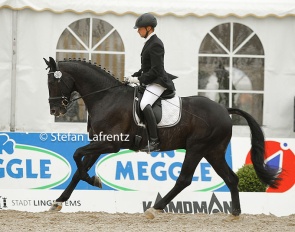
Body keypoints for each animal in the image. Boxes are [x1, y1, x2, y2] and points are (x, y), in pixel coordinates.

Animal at [42, 57, 280, 218]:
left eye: (54, 83)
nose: (55, 110)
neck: (105, 97)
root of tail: (224, 110)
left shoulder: (111, 144)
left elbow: (76, 154)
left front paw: (93, 180)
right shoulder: (98, 143)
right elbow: (78, 169)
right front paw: (58, 202)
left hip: (197, 148)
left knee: (184, 179)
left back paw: (154, 208)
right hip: (214, 151)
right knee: (231, 178)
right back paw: (235, 213)